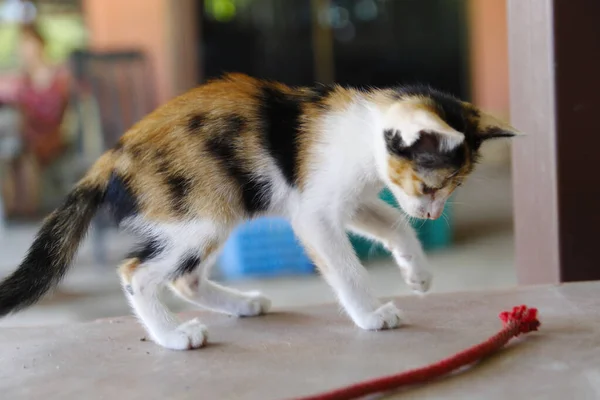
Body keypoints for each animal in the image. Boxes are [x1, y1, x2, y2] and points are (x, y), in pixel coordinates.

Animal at [0, 73, 516, 348]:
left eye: (450, 189)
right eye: (432, 186)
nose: (431, 215)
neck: (362, 133)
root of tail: (112, 157)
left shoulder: (341, 200)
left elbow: (389, 220)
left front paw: (418, 273)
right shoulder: (314, 212)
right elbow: (347, 268)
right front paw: (371, 315)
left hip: (212, 212)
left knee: (184, 278)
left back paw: (242, 304)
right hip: (202, 211)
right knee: (137, 273)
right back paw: (173, 336)